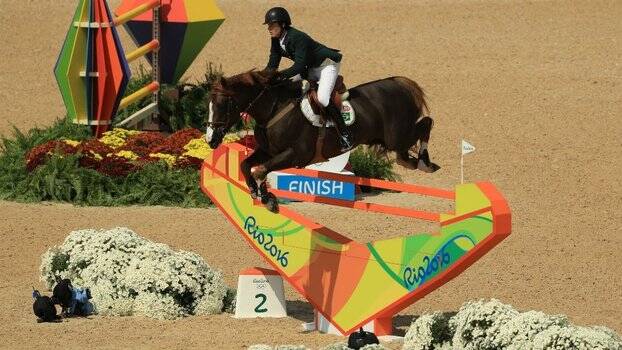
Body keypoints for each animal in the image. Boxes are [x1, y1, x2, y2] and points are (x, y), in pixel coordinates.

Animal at [207, 70, 442, 211]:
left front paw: (268, 199)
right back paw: (418, 162)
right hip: (393, 140)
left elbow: (260, 170)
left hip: (397, 137)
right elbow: (246, 165)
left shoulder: (296, 154)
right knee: (408, 150)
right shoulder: (269, 151)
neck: (274, 110)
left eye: (222, 105)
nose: (211, 140)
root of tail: (399, 82)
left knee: (426, 123)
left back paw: (426, 162)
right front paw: (257, 193)